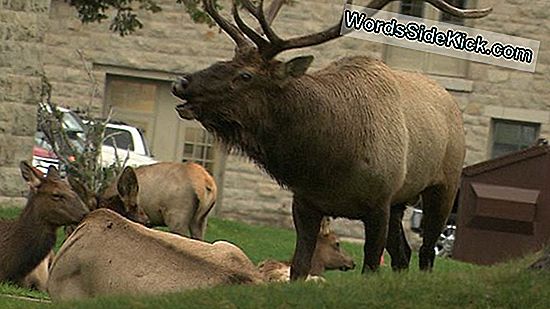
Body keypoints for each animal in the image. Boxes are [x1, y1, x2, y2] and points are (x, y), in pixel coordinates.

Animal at [171, 0, 492, 280]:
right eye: (225, 59)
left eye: (246, 75)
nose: (180, 82)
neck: (329, 162)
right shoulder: (305, 202)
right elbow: (299, 267)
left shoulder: (379, 203)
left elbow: (370, 267)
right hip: (400, 202)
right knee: (403, 256)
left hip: (443, 187)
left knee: (426, 254)